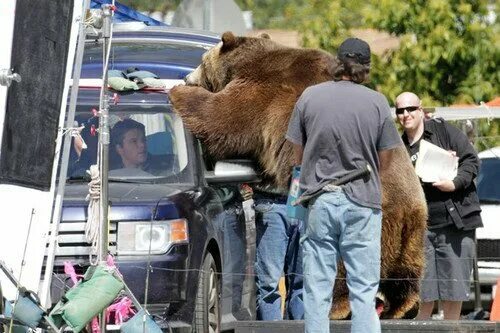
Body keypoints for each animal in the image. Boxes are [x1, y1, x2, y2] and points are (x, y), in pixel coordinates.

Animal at [169, 31, 426, 320]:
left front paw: (178, 93)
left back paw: (338, 306)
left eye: (202, 62)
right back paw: (403, 306)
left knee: (341, 260)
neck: (244, 64)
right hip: (412, 231)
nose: (186, 77)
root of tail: (405, 210)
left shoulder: (262, 95)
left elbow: (222, 117)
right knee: (405, 273)